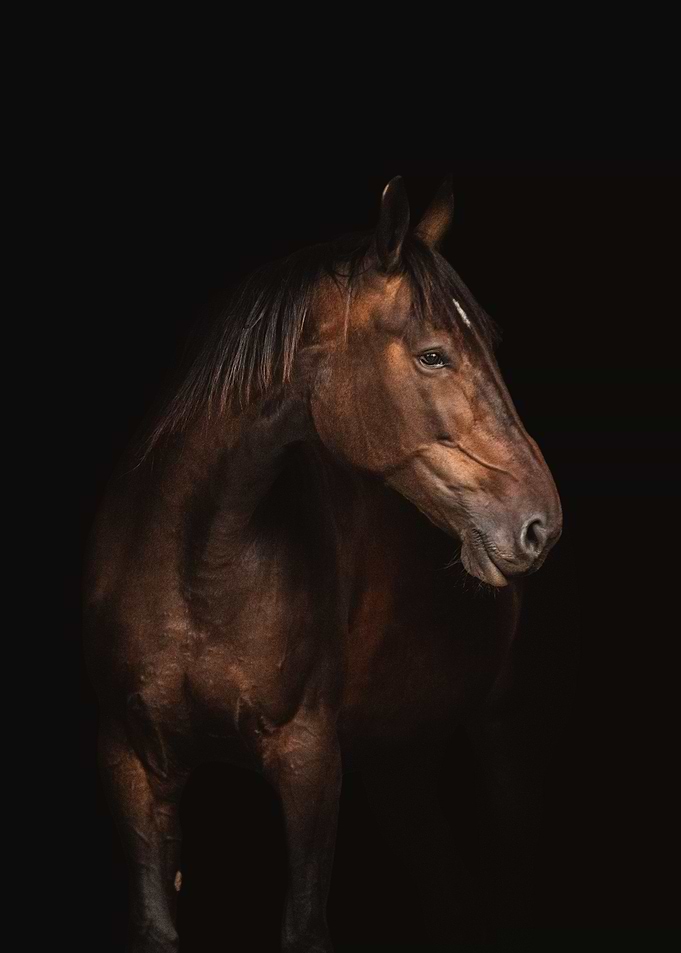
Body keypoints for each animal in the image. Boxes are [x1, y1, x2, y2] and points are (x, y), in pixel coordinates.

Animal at [83, 173, 563, 952]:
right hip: (400, 762)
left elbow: (304, 924)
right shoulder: (129, 758)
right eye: (433, 355)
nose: (539, 524)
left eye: (489, 343)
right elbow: (155, 924)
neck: (196, 569)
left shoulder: (308, 758)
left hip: (503, 730)